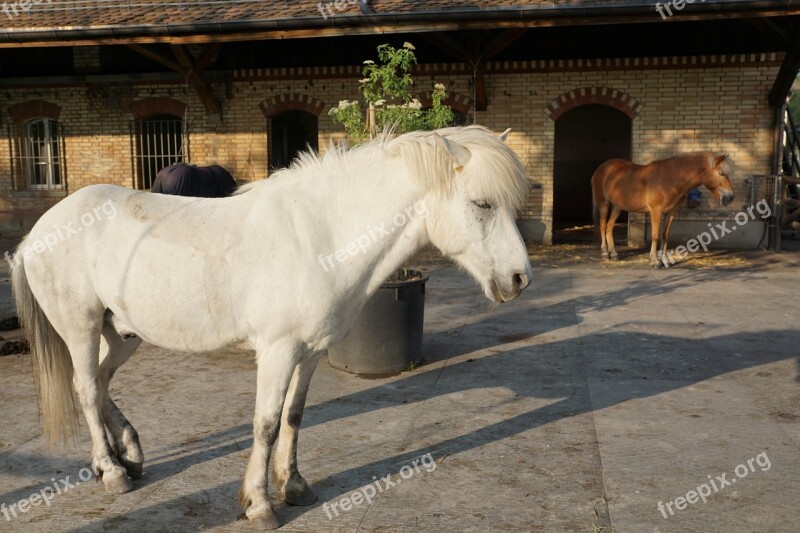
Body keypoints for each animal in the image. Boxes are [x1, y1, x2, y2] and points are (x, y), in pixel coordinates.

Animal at [10, 124, 532, 528]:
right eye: (482, 204)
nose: (519, 279)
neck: (322, 236)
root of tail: (39, 231)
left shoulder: (310, 352)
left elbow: (293, 417)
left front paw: (295, 486)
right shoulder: (278, 352)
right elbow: (265, 424)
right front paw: (260, 505)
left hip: (121, 333)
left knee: (99, 380)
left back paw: (130, 456)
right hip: (79, 326)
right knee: (84, 387)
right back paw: (112, 471)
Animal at [592, 152, 736, 268]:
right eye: (721, 173)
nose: (731, 197)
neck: (668, 179)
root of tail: (601, 168)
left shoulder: (670, 212)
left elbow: (665, 235)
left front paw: (664, 260)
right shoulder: (656, 211)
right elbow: (655, 235)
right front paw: (655, 261)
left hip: (617, 206)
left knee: (609, 226)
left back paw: (614, 254)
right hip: (604, 203)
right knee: (603, 224)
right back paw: (604, 252)